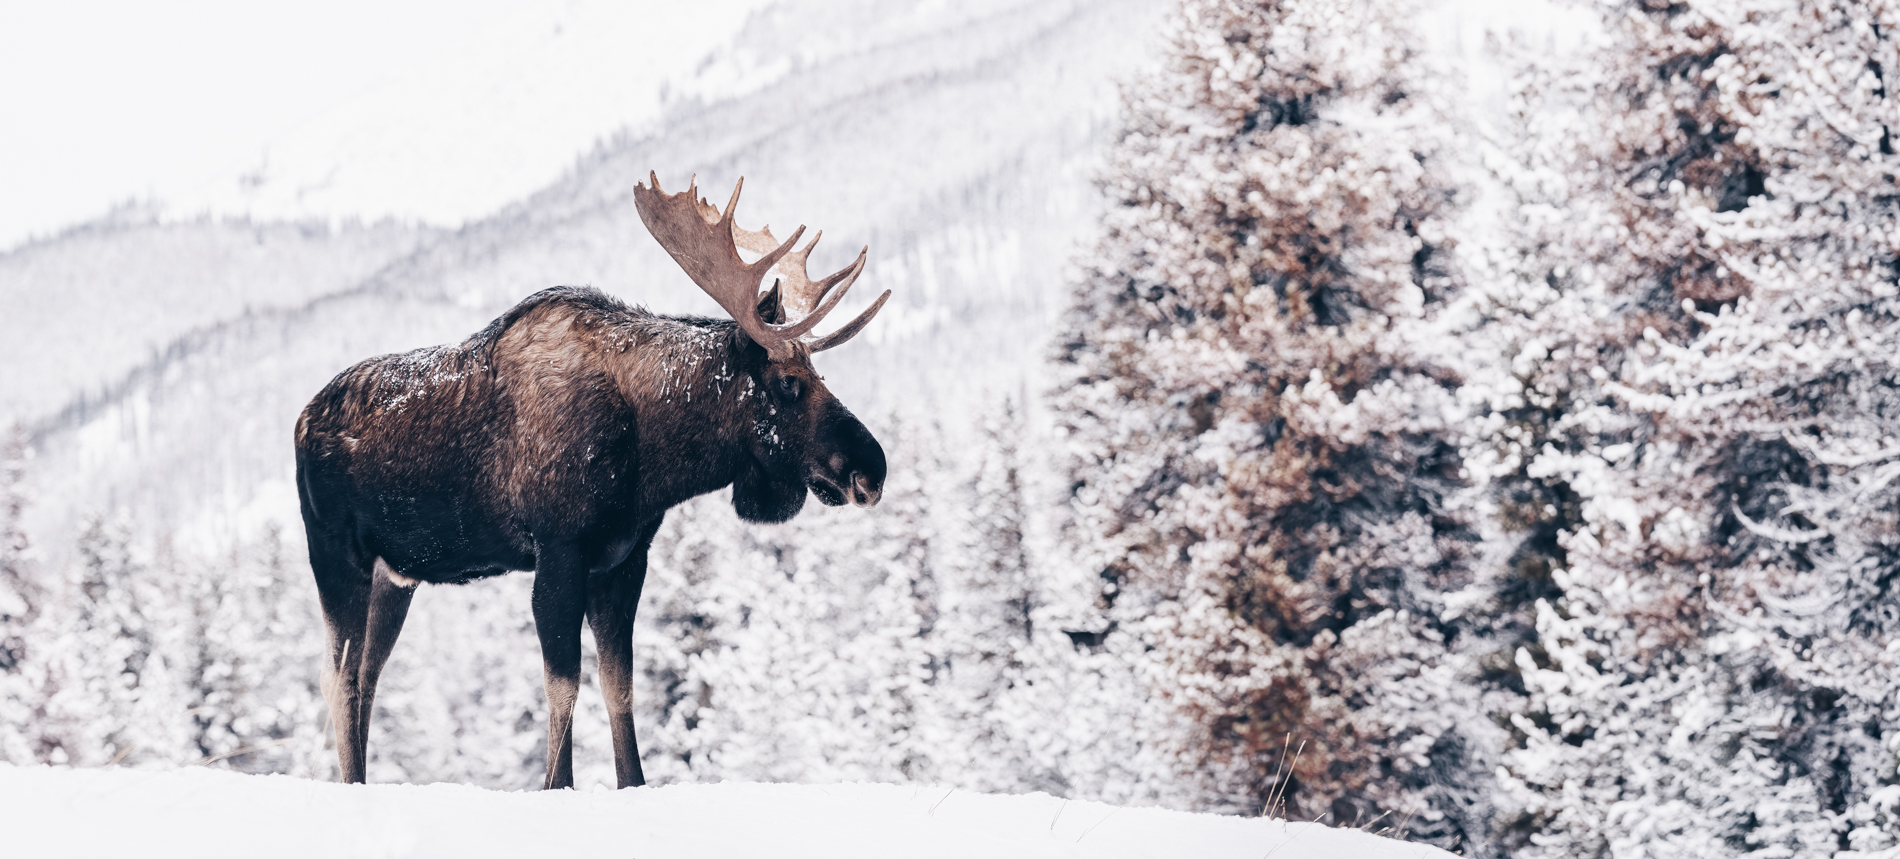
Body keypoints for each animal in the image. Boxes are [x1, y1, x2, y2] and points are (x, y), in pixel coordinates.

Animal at [294, 175, 889, 790]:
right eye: (789, 382)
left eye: (818, 373)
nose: (871, 469)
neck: (651, 455)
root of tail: (301, 420)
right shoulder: (560, 551)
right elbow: (564, 686)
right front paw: (557, 784)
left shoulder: (623, 560)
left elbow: (618, 685)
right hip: (336, 555)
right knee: (338, 676)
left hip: (397, 576)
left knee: (368, 675)